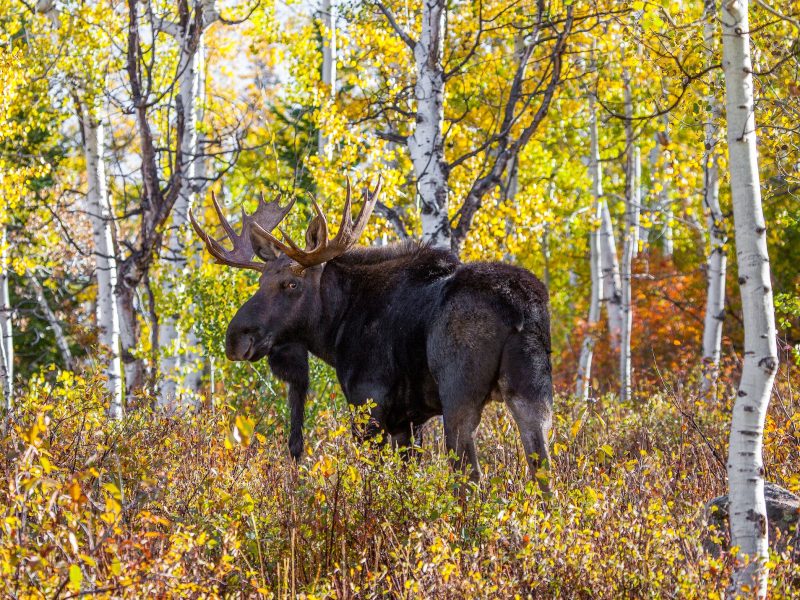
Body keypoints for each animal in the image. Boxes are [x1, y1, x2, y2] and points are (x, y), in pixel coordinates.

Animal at [190, 178, 553, 488]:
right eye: (260, 281)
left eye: (290, 284)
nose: (236, 338)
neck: (336, 328)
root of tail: (518, 308)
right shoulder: (409, 420)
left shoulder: (369, 405)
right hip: (533, 393)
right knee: (543, 473)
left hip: (459, 396)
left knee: (472, 476)